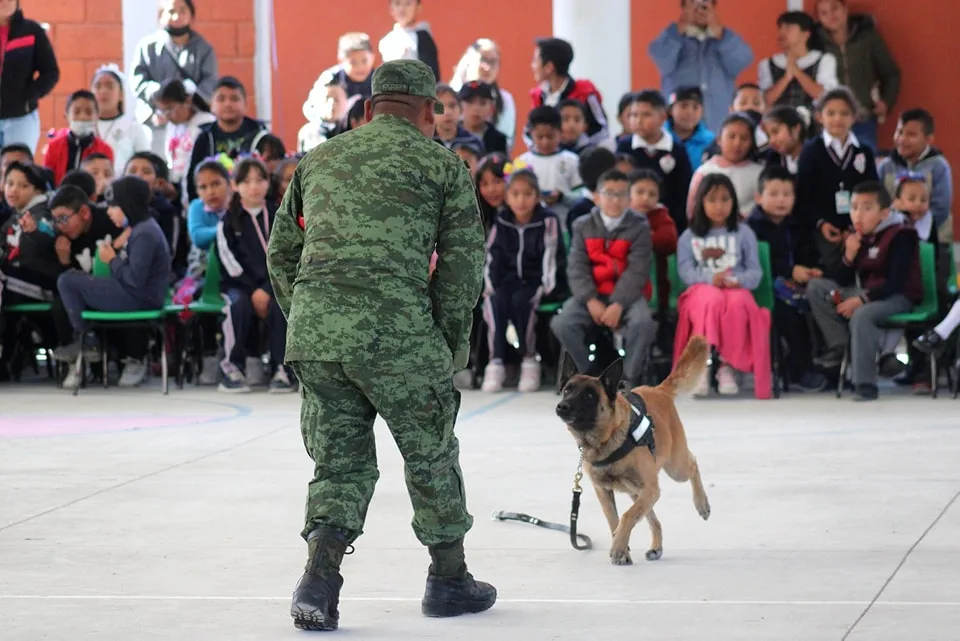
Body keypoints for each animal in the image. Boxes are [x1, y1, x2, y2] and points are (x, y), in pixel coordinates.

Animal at [556, 336, 712, 564]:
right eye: (567, 390)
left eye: (589, 396)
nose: (562, 406)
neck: (607, 438)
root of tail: (658, 390)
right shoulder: (605, 492)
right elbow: (614, 520)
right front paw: (621, 546)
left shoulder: (651, 489)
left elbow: (627, 516)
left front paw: (619, 548)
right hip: (636, 492)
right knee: (654, 520)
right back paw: (656, 546)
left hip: (674, 469)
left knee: (692, 464)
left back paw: (701, 504)